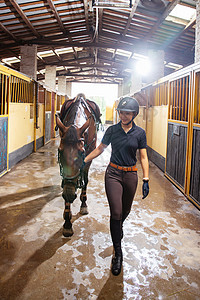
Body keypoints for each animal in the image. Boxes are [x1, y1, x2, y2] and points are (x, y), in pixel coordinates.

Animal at [55, 93, 101, 237]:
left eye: (81, 152)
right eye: (59, 151)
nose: (70, 193)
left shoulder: (89, 157)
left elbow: (85, 180)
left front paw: (83, 205)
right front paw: (67, 223)